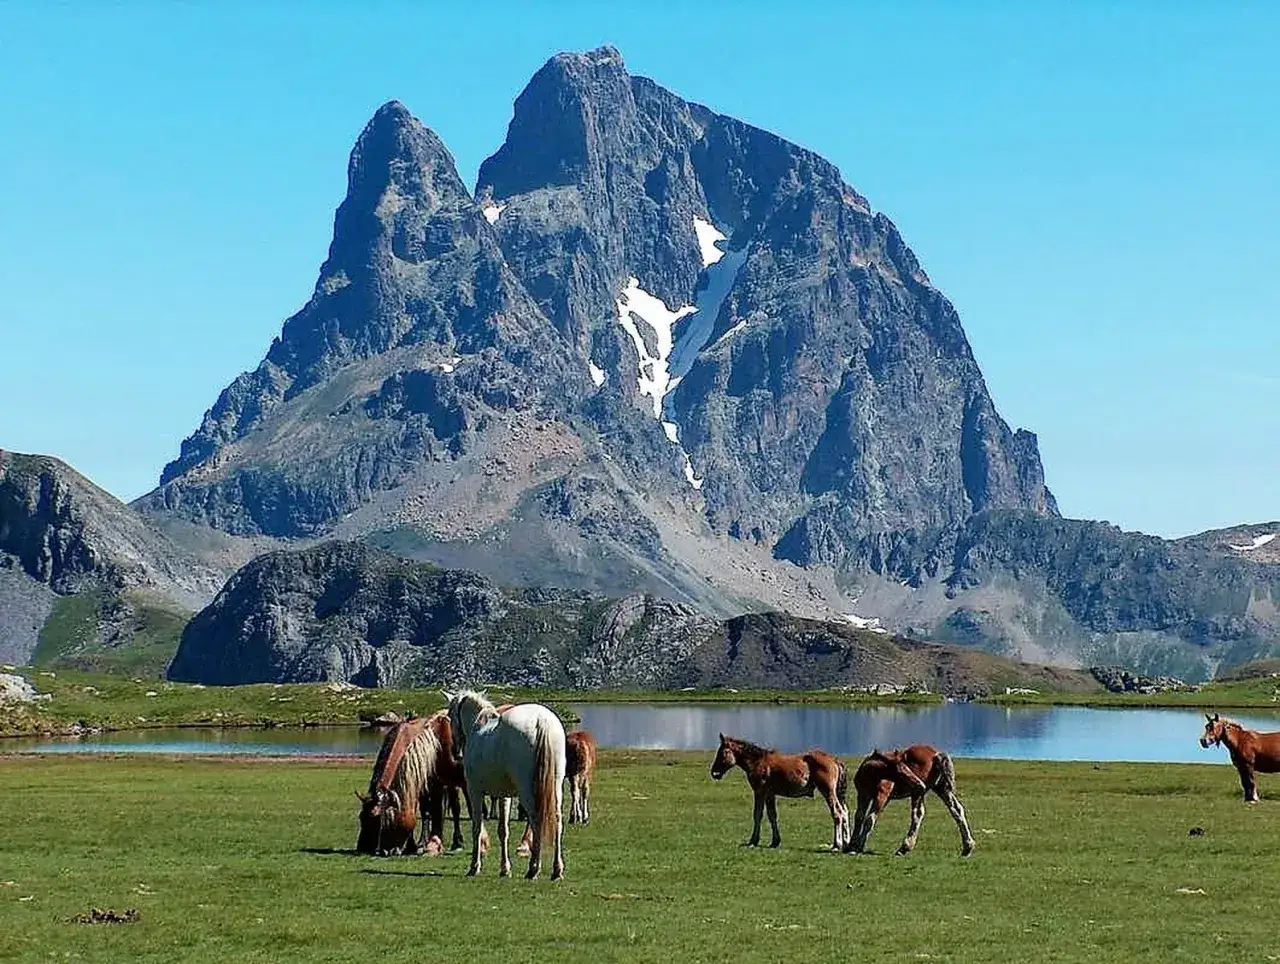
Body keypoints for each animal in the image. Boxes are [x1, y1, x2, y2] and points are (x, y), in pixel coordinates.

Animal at [446, 690, 566, 880]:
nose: (455, 752)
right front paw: (505, 868)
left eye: (450, 716)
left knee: (536, 821)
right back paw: (557, 869)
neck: (478, 726)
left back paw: (534, 868)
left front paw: (474, 866)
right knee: (557, 821)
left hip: (527, 791)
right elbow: (503, 830)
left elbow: (477, 827)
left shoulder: (474, 792)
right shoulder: (504, 796)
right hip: (555, 787)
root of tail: (542, 720)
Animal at [709, 733, 849, 850]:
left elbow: (757, 814)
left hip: (828, 791)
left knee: (837, 813)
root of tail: (834, 760)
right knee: (845, 812)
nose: (714, 772)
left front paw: (753, 841)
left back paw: (837, 844)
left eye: (723, 752)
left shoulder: (760, 791)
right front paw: (775, 841)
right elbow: (772, 815)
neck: (758, 761)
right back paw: (846, 842)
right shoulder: (770, 794)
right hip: (837, 793)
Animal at [845, 745, 975, 857]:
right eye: (900, 770)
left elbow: (870, 819)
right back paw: (967, 847)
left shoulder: (882, 796)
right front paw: (851, 845)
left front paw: (858, 846)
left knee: (918, 814)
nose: (919, 783)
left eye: (907, 767)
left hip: (918, 792)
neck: (870, 773)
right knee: (957, 810)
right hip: (941, 788)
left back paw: (904, 848)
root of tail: (936, 754)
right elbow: (859, 817)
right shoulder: (863, 795)